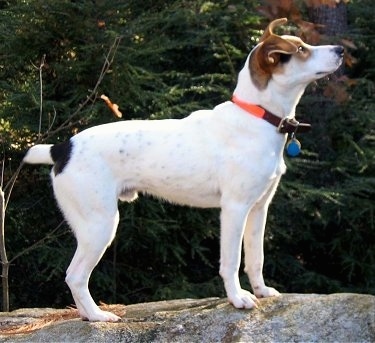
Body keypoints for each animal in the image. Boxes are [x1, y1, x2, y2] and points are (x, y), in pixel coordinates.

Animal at [23, 17, 346, 322]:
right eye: (301, 49)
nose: (341, 49)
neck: (257, 117)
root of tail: (61, 148)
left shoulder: (259, 208)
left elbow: (256, 258)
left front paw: (261, 290)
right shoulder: (234, 208)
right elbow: (231, 262)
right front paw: (237, 298)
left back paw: (88, 315)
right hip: (100, 224)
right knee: (75, 275)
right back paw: (98, 316)